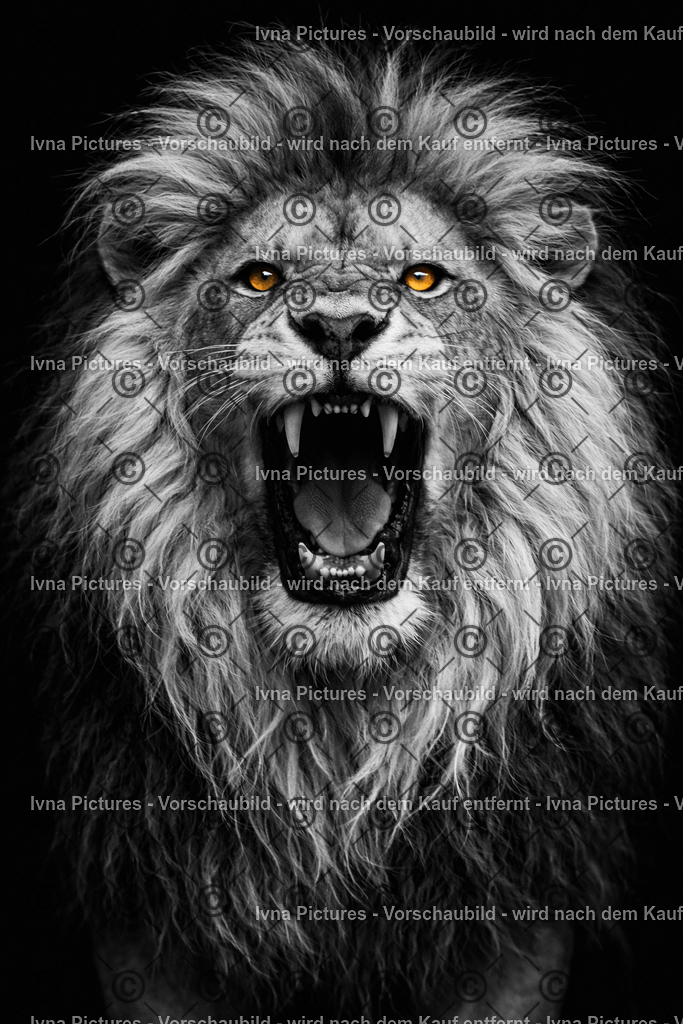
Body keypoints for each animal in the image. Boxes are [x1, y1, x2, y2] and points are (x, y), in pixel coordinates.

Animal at [20, 39, 674, 1020]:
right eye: (260, 277)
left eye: (420, 278)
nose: (336, 324)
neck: (338, 730)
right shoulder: (144, 933)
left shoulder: (518, 930)